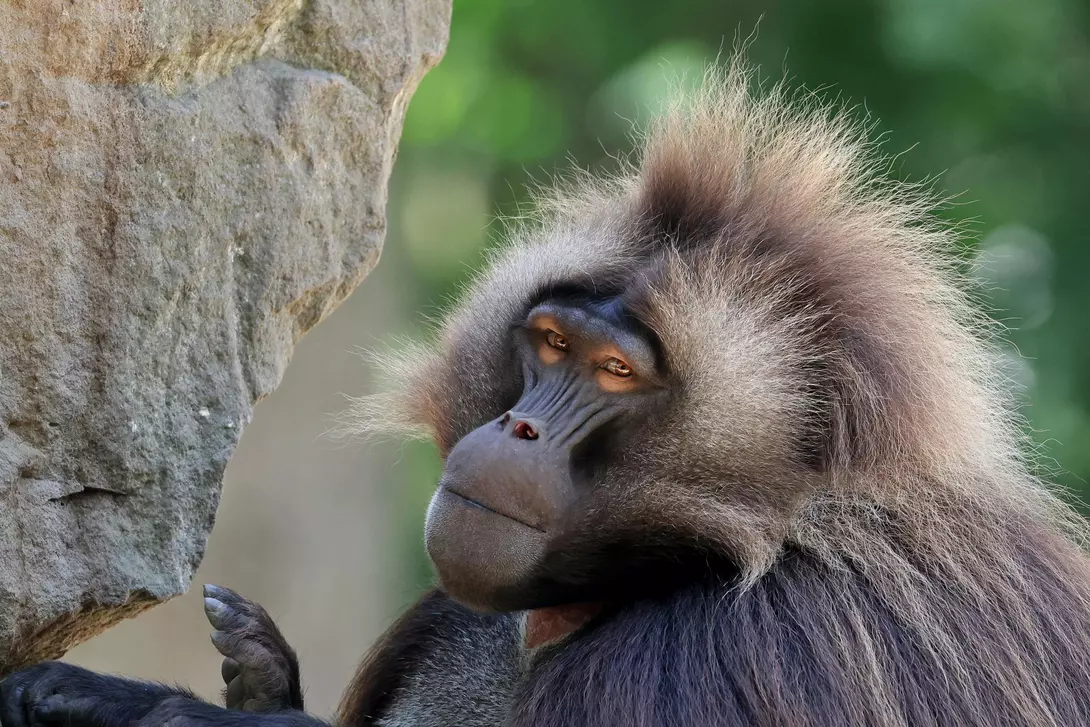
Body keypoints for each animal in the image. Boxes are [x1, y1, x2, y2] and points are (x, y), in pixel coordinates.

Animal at [4, 58, 1090, 727]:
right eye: (553, 342)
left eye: (616, 373)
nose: (517, 426)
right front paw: (254, 679)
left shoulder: (735, 650)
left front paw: (163, 706)